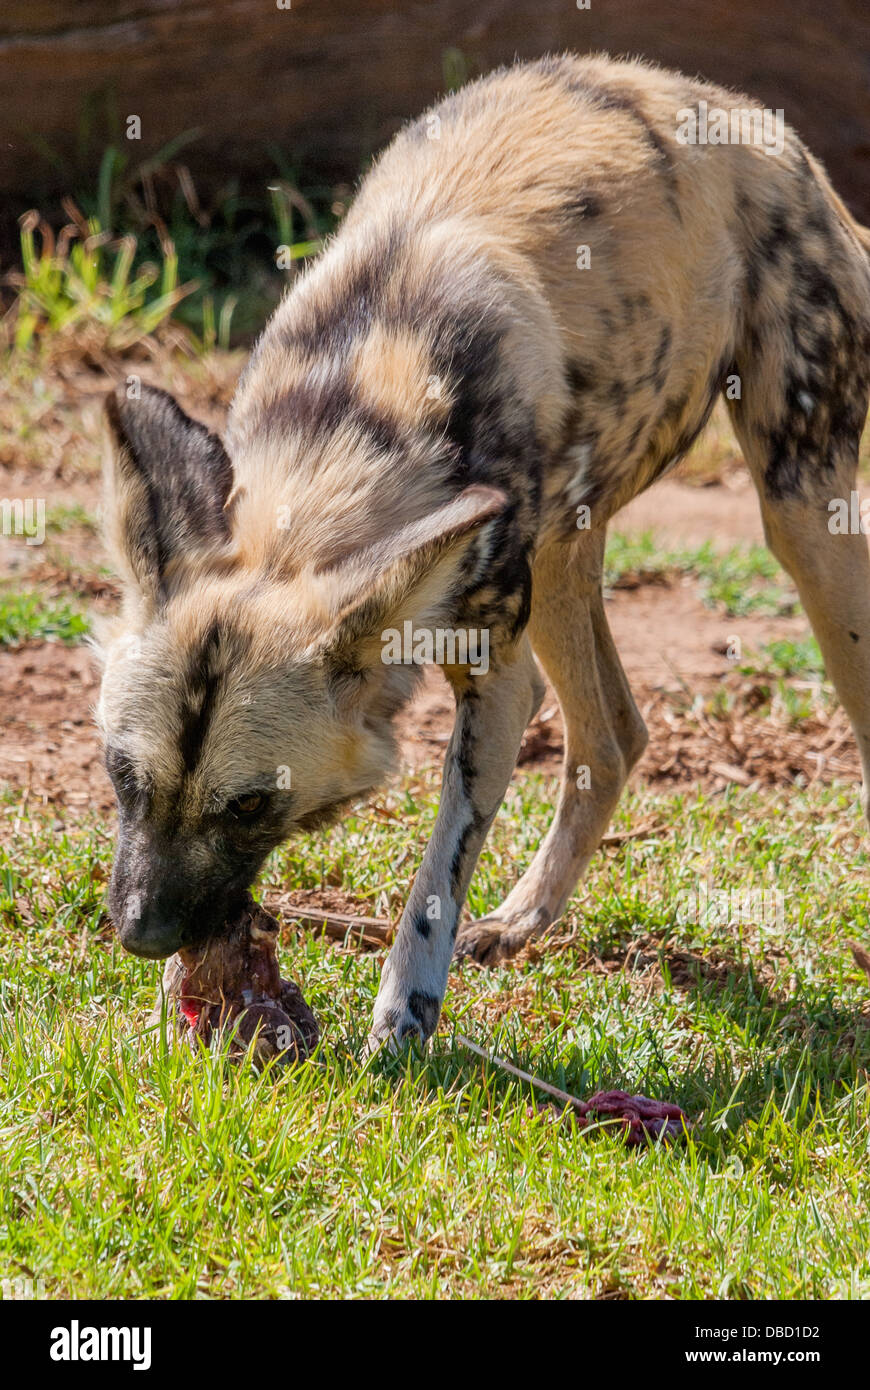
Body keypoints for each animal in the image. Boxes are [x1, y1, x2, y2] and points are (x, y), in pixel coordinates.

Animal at [97, 56, 867, 1050]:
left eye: (250, 804)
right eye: (122, 776)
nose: (142, 934)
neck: (350, 424)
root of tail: (745, 116)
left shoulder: (497, 683)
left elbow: (438, 875)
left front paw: (405, 1011)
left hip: (801, 513)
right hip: (569, 547)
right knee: (613, 734)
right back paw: (527, 918)